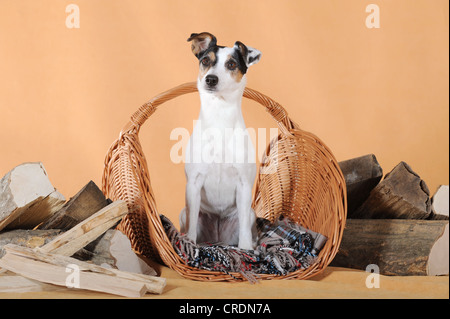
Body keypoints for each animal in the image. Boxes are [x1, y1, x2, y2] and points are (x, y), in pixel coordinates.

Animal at [179, 33, 262, 252]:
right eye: (205, 61)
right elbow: (191, 224)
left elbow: (244, 232)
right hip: (184, 212)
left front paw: (246, 250)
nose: (210, 79)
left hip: (250, 214)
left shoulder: (243, 186)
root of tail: (217, 240)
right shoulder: (194, 184)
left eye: (231, 64)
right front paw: (190, 242)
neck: (219, 117)